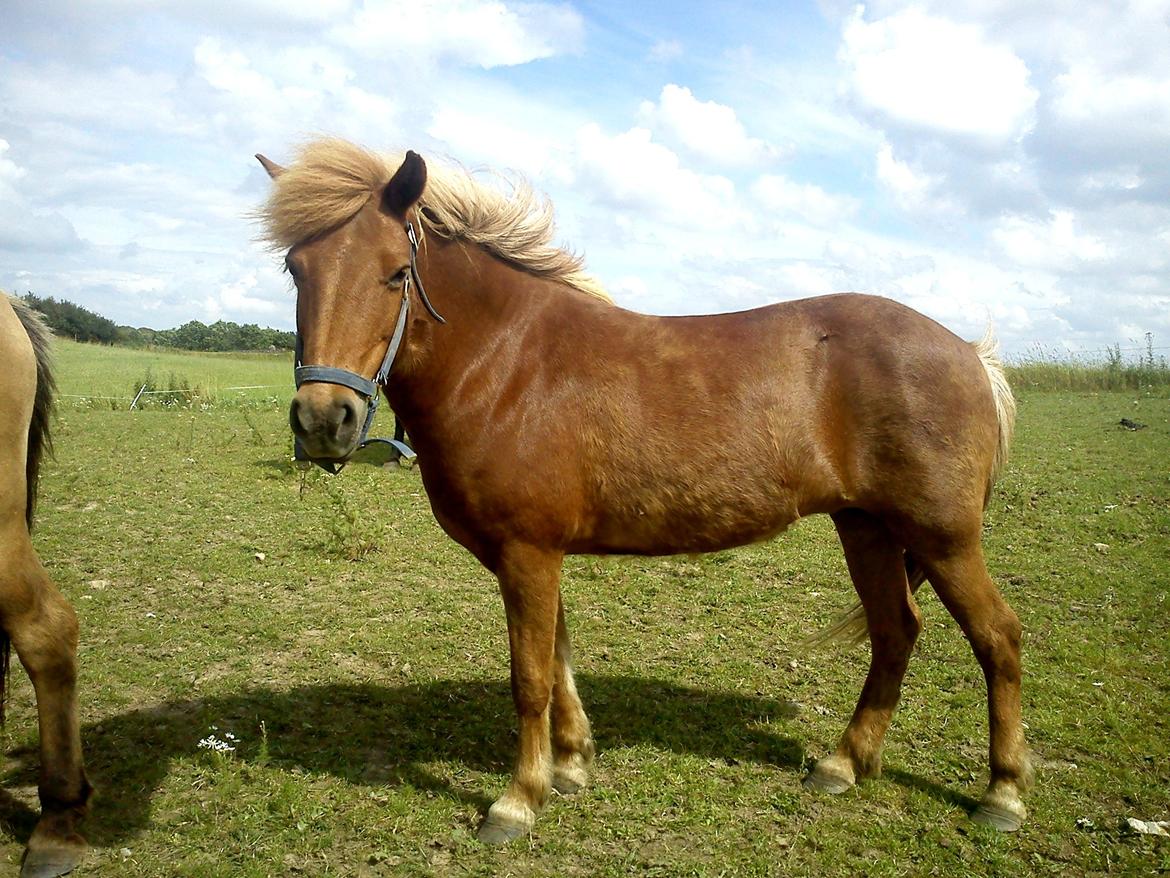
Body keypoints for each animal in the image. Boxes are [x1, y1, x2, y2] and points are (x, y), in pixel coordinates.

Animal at [258, 139, 1034, 847]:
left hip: (943, 537)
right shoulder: (534, 555)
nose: (324, 421)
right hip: (866, 526)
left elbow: (529, 677)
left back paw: (1001, 793)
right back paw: (845, 763)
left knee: (997, 637)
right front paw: (571, 765)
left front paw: (517, 801)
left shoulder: (526, 552)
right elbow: (559, 658)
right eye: (295, 268)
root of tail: (971, 355)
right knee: (895, 631)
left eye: (396, 272)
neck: (506, 362)